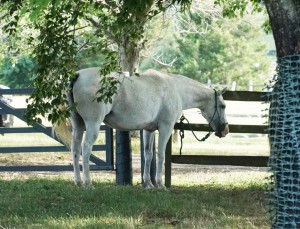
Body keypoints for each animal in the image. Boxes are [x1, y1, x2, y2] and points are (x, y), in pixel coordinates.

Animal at [55, 68, 230, 190]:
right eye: (223, 106)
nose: (225, 130)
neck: (176, 89)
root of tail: (78, 75)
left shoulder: (149, 130)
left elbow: (148, 155)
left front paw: (148, 184)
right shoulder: (165, 127)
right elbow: (160, 155)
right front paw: (160, 184)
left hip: (78, 125)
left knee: (75, 149)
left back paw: (78, 182)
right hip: (93, 124)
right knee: (85, 149)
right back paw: (88, 183)